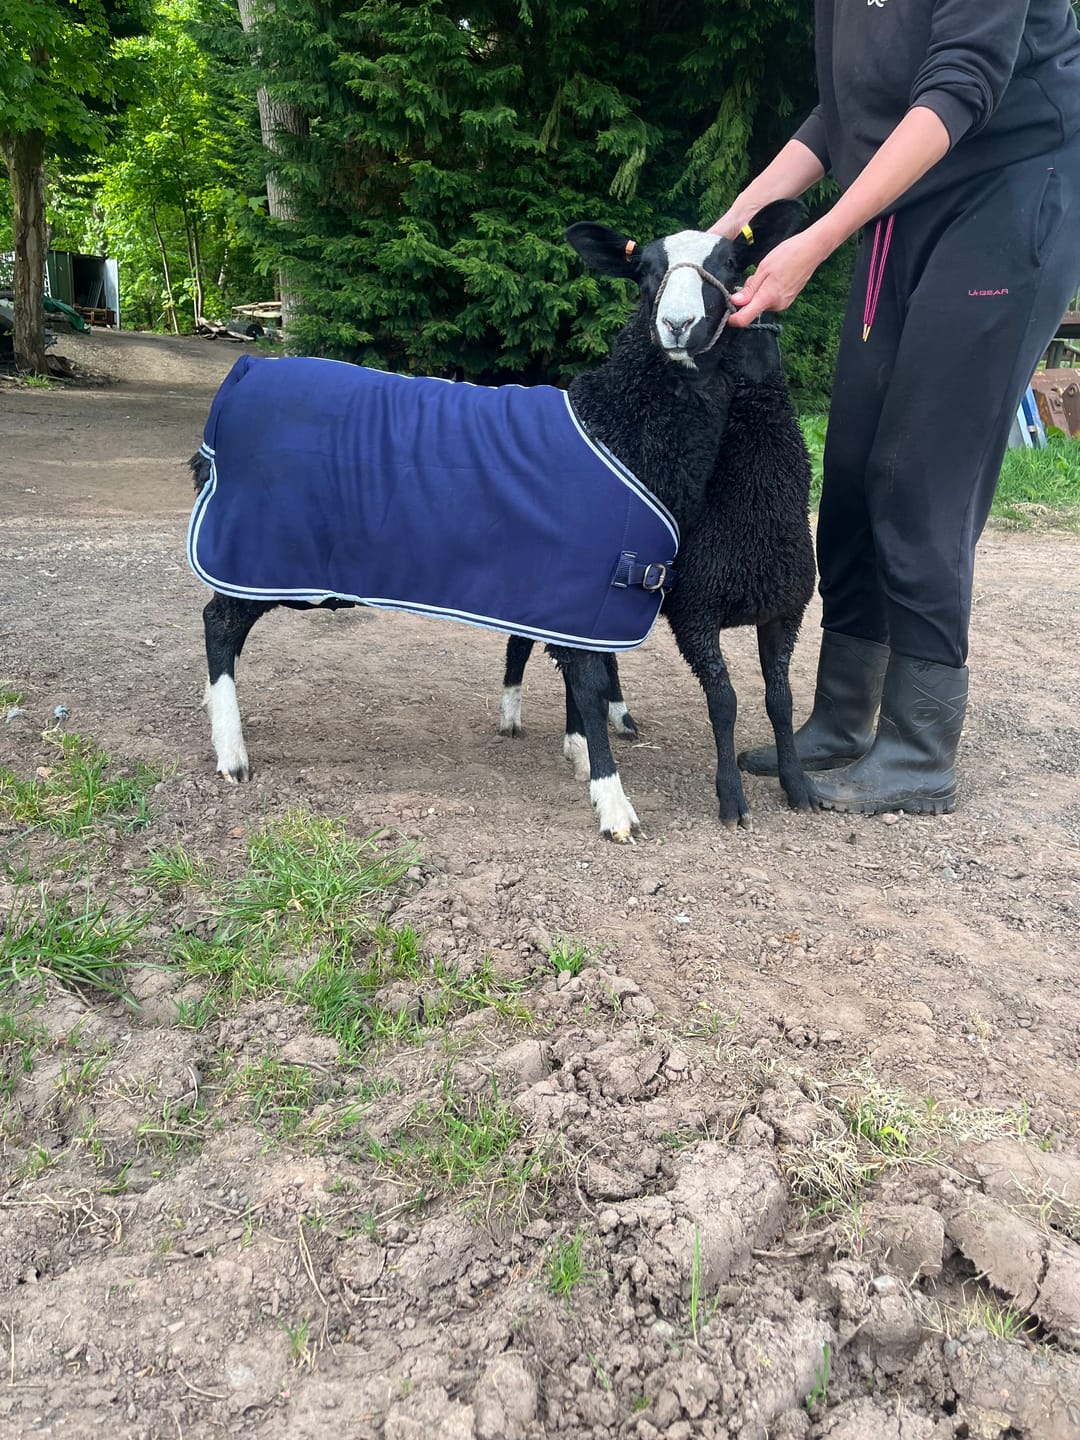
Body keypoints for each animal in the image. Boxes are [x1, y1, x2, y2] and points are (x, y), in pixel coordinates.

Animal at [497, 297, 817, 826]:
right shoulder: (697, 615)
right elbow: (725, 702)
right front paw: (732, 797)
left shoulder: (782, 614)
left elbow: (781, 701)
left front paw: (797, 784)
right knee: (527, 643)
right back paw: (512, 713)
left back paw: (609, 720)